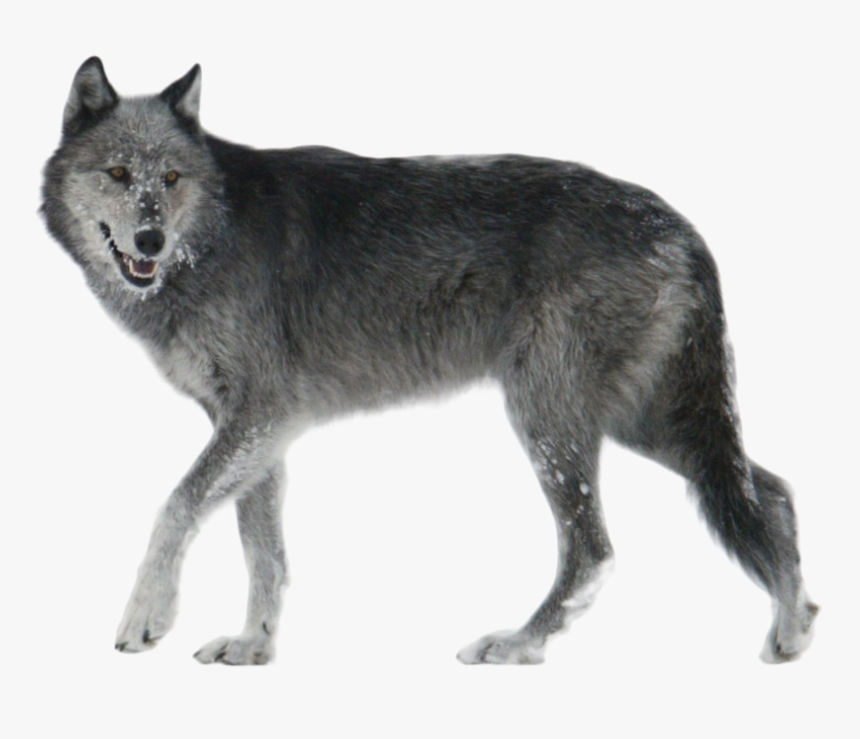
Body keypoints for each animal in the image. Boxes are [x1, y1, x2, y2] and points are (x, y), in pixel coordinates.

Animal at [41, 57, 817, 666]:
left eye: (171, 178)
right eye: (119, 173)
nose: (149, 239)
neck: (214, 235)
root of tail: (681, 225)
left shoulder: (262, 412)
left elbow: (176, 505)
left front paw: (147, 617)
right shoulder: (255, 428)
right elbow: (262, 548)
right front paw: (253, 646)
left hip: (553, 420)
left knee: (594, 549)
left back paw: (518, 644)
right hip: (645, 423)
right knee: (772, 491)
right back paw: (793, 630)